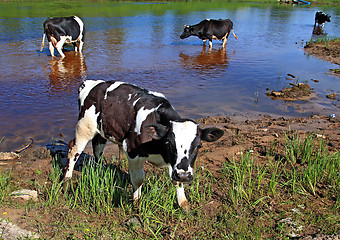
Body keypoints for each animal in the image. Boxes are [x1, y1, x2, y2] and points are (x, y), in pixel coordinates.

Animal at [64, 79, 224, 209]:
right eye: (169, 143)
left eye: (198, 146)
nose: (184, 176)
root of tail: (91, 83)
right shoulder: (132, 150)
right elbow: (138, 179)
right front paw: (137, 202)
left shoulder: (176, 165)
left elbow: (176, 181)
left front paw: (183, 204)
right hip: (84, 127)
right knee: (73, 150)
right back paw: (66, 179)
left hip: (102, 130)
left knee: (97, 149)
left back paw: (99, 172)